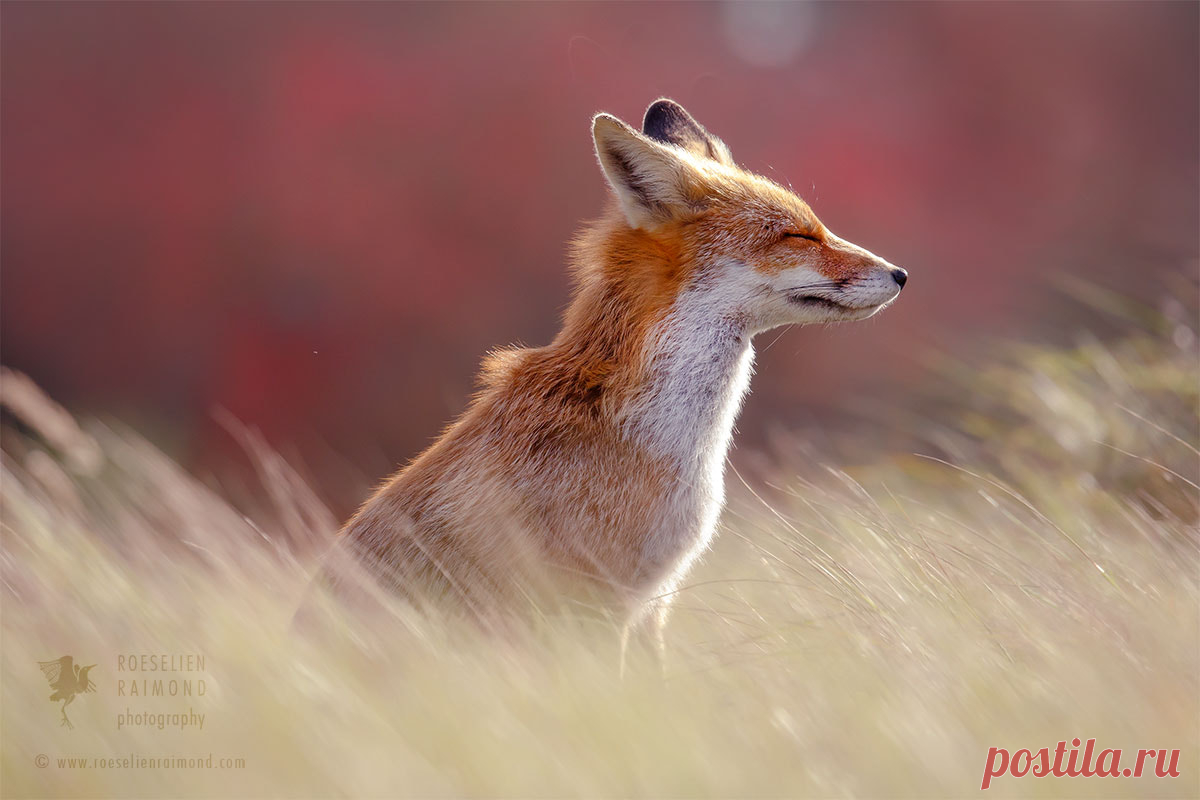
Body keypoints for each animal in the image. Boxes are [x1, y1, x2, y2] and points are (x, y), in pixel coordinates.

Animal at [312, 99, 906, 648]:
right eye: (798, 237)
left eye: (816, 228)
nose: (900, 274)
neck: (652, 438)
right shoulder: (593, 599)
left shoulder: (653, 604)